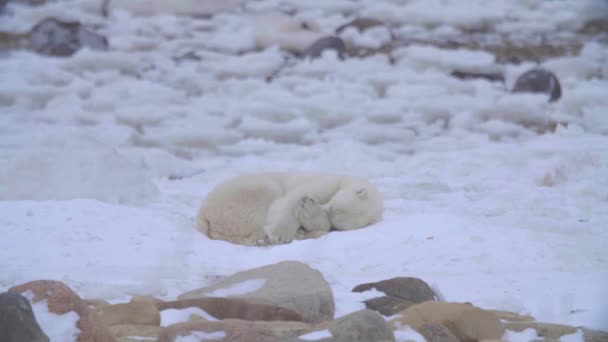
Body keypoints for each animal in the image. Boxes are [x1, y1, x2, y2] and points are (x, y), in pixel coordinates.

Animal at [197, 174, 382, 246]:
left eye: (333, 214)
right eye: (331, 207)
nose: (321, 206)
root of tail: (203, 213)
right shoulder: (328, 182)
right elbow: (291, 199)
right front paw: (280, 233)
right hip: (241, 196)